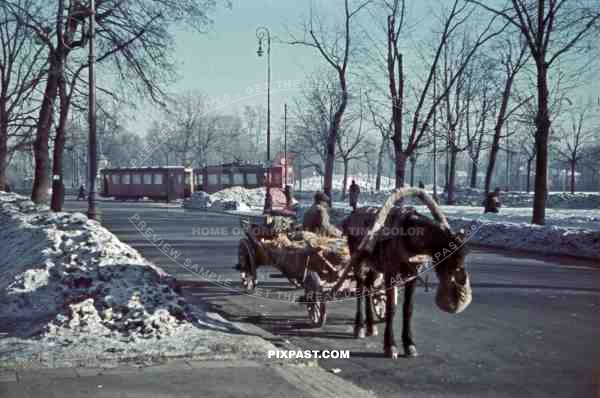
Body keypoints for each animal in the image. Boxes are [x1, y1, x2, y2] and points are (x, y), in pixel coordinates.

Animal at [338, 188, 474, 360]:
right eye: (451, 259)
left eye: (464, 257)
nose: (457, 299)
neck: (411, 240)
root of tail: (352, 215)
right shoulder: (390, 273)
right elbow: (391, 308)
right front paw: (390, 346)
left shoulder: (412, 275)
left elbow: (408, 309)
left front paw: (409, 344)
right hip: (358, 261)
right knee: (360, 290)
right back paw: (359, 327)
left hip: (375, 265)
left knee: (369, 287)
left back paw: (370, 326)